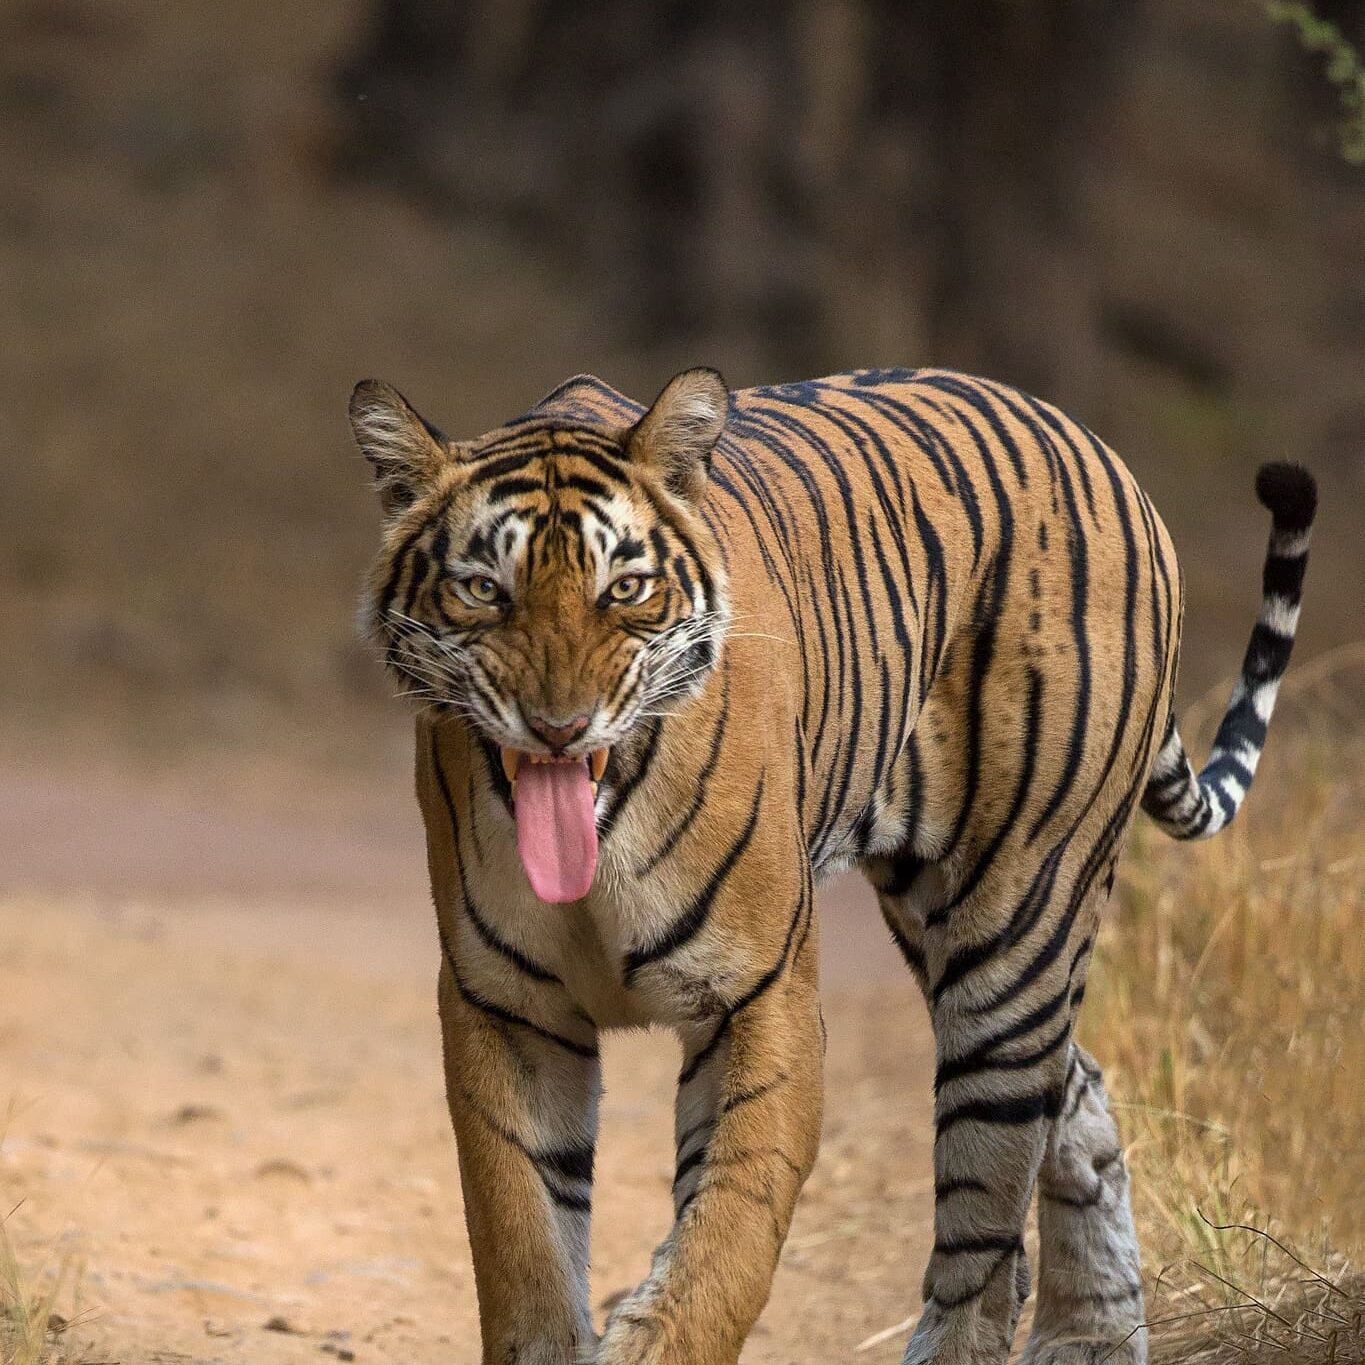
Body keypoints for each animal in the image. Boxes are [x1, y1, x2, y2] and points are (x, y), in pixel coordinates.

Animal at [349, 365, 1310, 1365]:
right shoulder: (505, 1004)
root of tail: (1094, 445)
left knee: (986, 1209)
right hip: (940, 921)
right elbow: (523, 1237)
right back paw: (1091, 1333)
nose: (558, 727)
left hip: (1015, 930)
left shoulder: (758, 994)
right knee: (1075, 1085)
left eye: (626, 587)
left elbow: (727, 1234)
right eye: (481, 590)